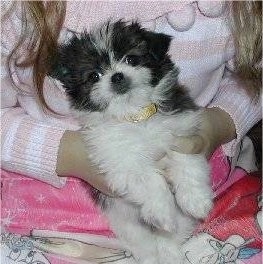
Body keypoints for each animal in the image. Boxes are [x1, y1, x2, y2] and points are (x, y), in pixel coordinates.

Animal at [50, 21, 214, 264]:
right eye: (94, 76)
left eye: (132, 59)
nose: (116, 76)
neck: (136, 115)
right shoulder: (122, 160)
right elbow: (151, 180)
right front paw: (162, 211)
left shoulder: (183, 133)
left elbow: (187, 165)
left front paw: (196, 200)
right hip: (127, 226)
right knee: (145, 247)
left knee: (169, 239)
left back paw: (170, 252)